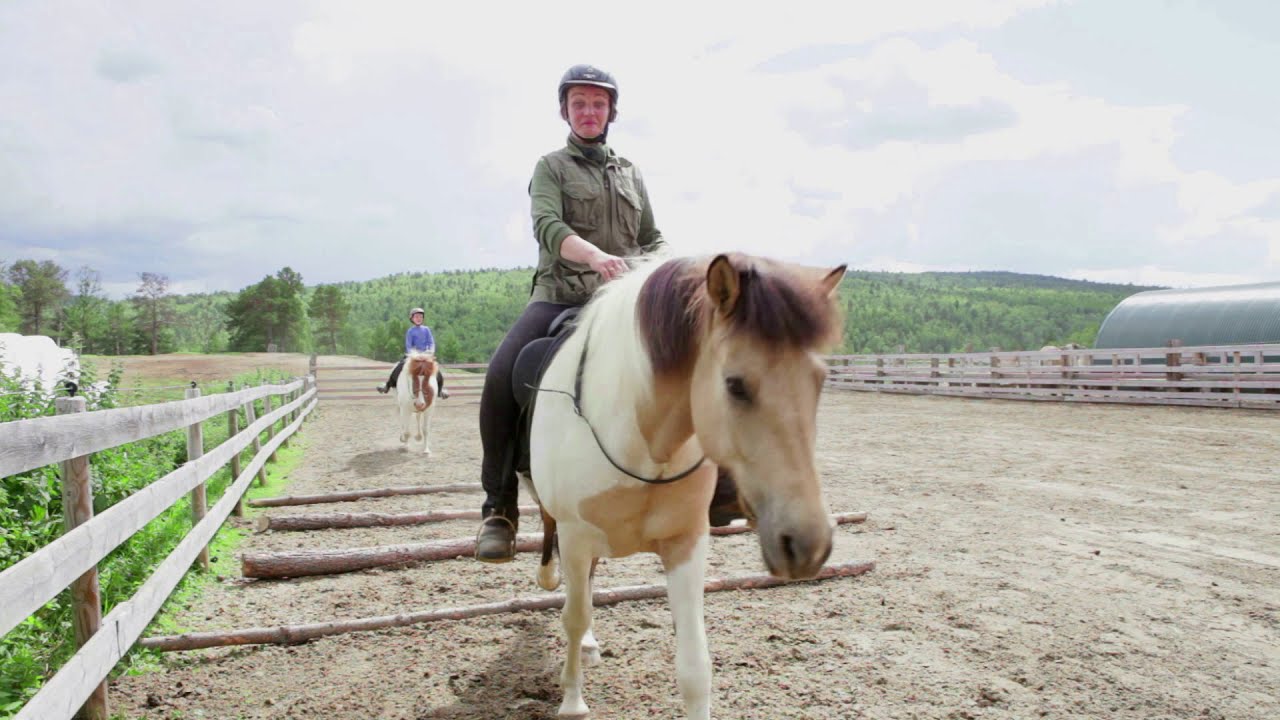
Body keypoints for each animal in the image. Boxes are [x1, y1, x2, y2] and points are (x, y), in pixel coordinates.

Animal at [525, 252, 846, 719]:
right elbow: (573, 616)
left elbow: (695, 664)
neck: (643, 445)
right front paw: (572, 700)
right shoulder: (575, 536)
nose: (809, 545)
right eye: (735, 385)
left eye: (819, 381)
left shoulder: (686, 542)